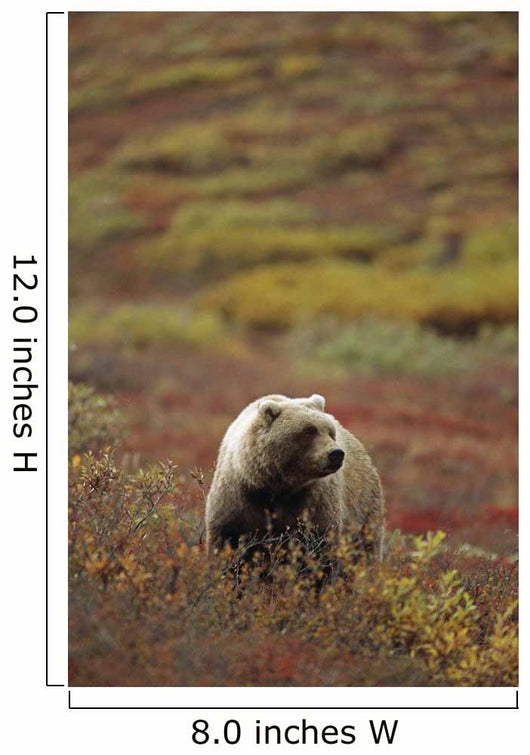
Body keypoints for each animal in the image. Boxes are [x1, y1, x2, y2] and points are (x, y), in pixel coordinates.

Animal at [205, 393, 385, 562]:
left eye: (330, 431)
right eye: (308, 431)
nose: (336, 453)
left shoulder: (314, 504)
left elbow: (322, 547)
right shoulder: (237, 500)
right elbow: (225, 542)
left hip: (364, 507)